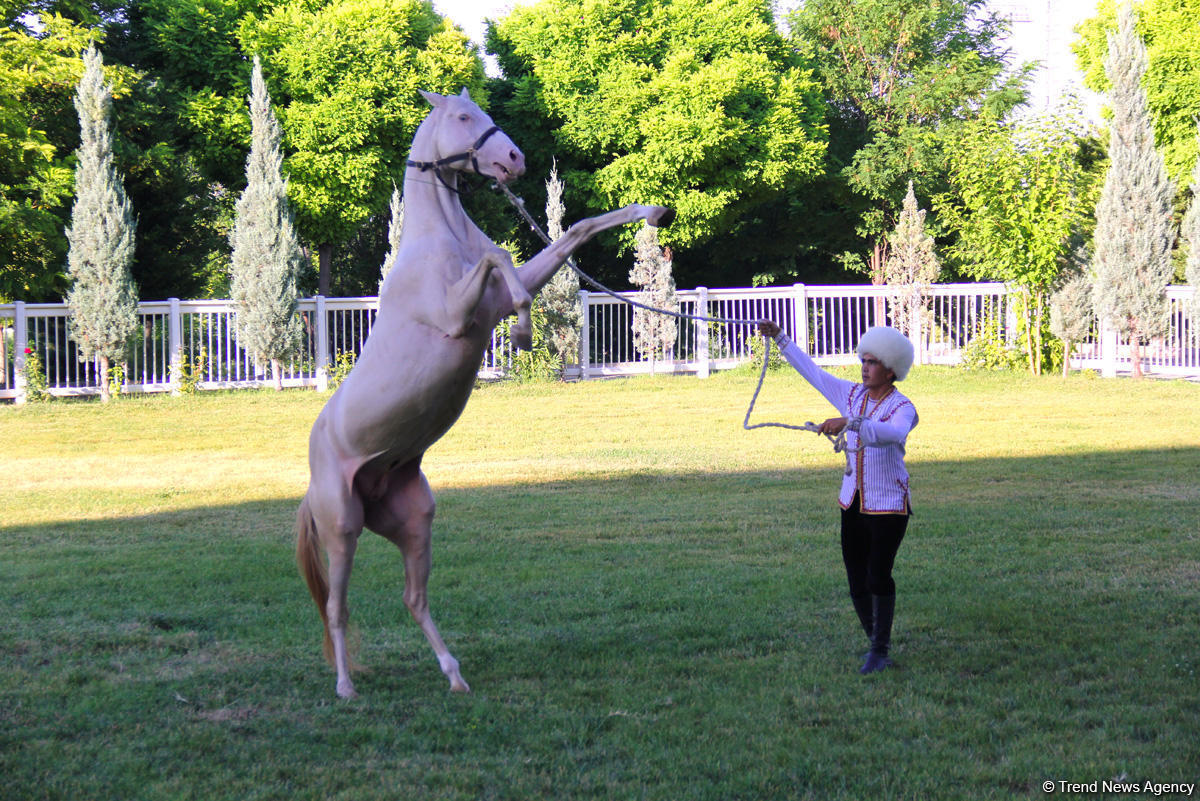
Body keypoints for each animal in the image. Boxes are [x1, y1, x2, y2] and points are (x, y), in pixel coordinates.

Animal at [295, 87, 676, 695]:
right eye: (462, 117)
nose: (514, 160)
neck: (441, 240)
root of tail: (314, 481)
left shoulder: (487, 302)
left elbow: (572, 232)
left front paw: (651, 211)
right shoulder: (457, 316)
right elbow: (502, 261)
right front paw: (522, 331)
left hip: (414, 520)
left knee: (414, 599)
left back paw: (454, 676)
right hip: (342, 528)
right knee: (337, 607)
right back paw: (346, 687)